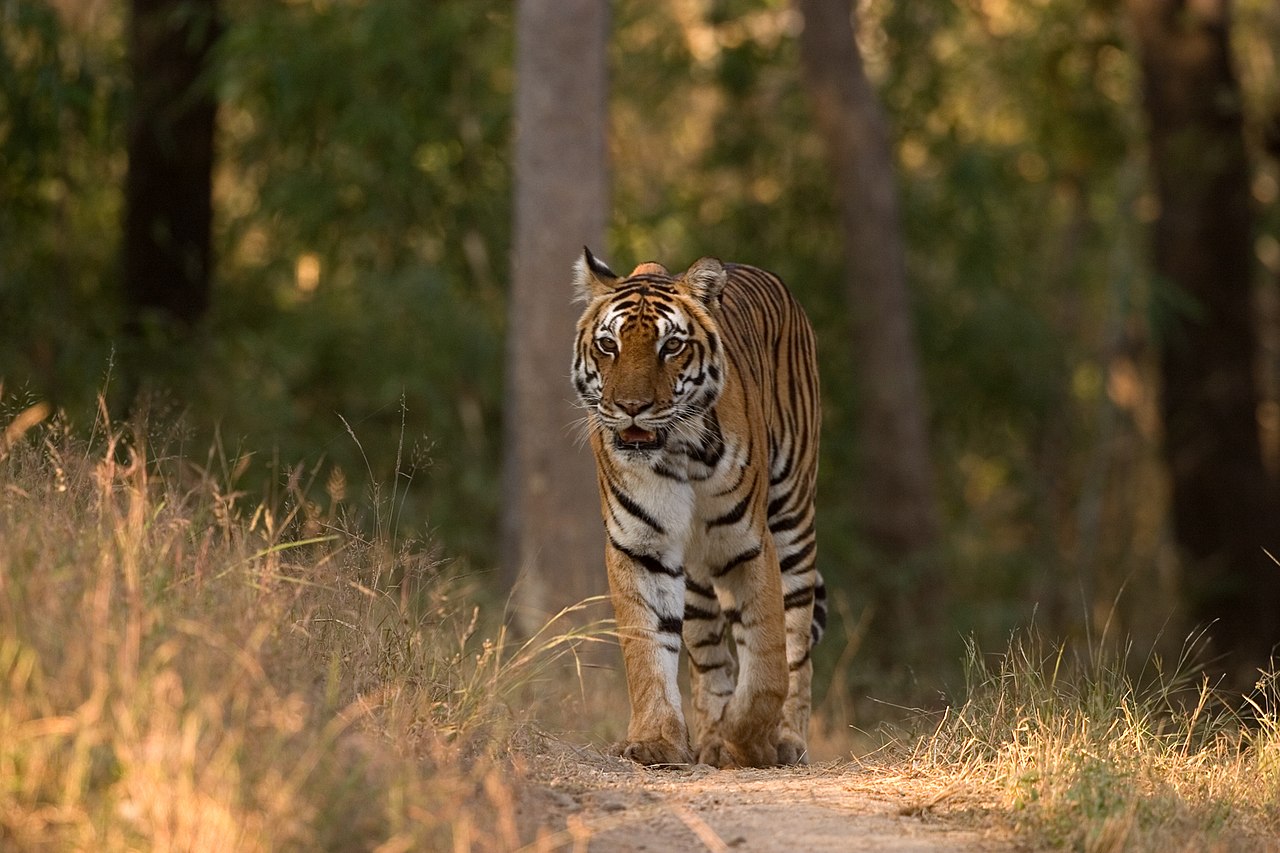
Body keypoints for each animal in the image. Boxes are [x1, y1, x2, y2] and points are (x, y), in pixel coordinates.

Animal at [573, 245, 829, 763]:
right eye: (609, 345)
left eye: (671, 346)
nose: (632, 407)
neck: (677, 451)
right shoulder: (642, 545)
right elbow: (647, 646)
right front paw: (655, 741)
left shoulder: (747, 541)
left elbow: (768, 657)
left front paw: (748, 742)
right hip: (694, 576)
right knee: (709, 655)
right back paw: (710, 737)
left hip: (793, 517)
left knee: (795, 639)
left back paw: (785, 738)